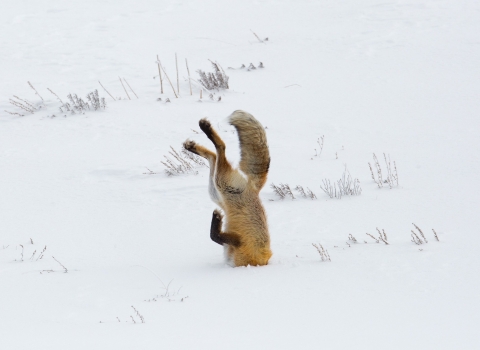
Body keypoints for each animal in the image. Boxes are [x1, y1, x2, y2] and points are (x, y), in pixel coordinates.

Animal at [184, 110, 272, 266]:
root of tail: (254, 188)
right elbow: (214, 236)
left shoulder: (239, 243)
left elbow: (214, 236)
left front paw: (217, 218)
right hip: (218, 188)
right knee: (215, 154)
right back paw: (195, 141)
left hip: (220, 185)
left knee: (219, 150)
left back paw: (203, 132)